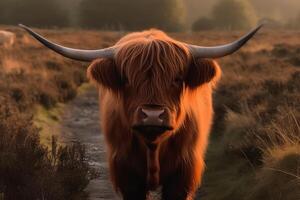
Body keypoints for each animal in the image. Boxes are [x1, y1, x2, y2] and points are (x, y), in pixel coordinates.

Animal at [19, 24, 262, 199]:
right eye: (126, 79)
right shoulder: (126, 174)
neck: (153, 146)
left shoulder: (183, 174)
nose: (152, 115)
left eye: (177, 78)